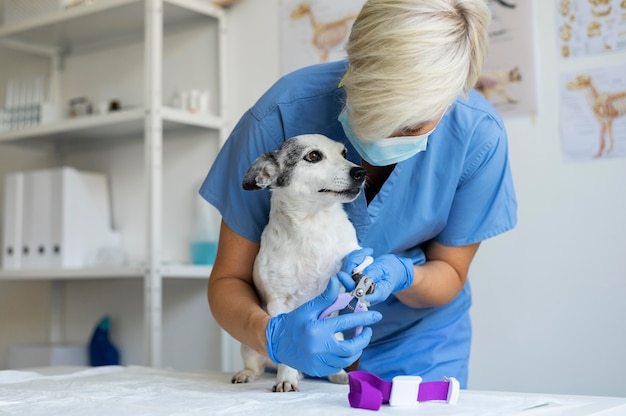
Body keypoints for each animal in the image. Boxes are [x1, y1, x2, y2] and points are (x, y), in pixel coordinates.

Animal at [232, 134, 364, 394]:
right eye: (313, 156)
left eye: (344, 153)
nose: (360, 172)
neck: (313, 225)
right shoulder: (279, 306)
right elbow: (286, 351)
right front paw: (286, 379)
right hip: (248, 346)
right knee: (256, 365)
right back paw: (248, 374)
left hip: (338, 339)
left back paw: (339, 374)